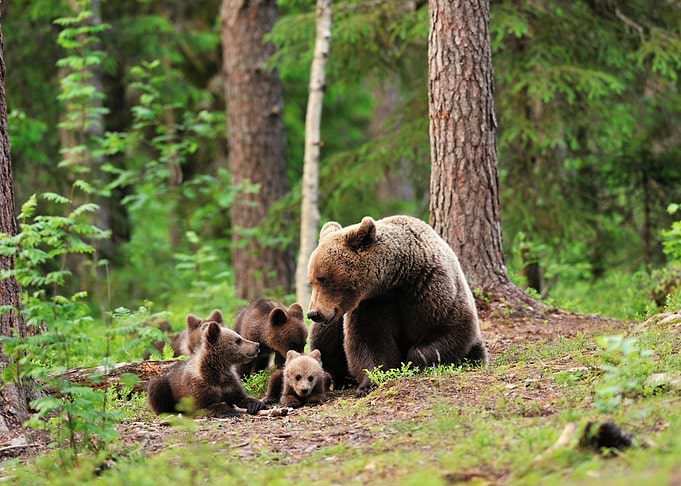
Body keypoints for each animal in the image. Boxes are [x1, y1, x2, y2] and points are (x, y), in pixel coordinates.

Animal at [306, 215, 488, 397]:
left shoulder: (431, 287)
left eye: (323, 279)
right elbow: (369, 340)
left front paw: (413, 364)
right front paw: (369, 383)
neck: (397, 277)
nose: (314, 313)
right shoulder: (373, 303)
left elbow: (448, 328)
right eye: (311, 281)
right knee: (324, 339)